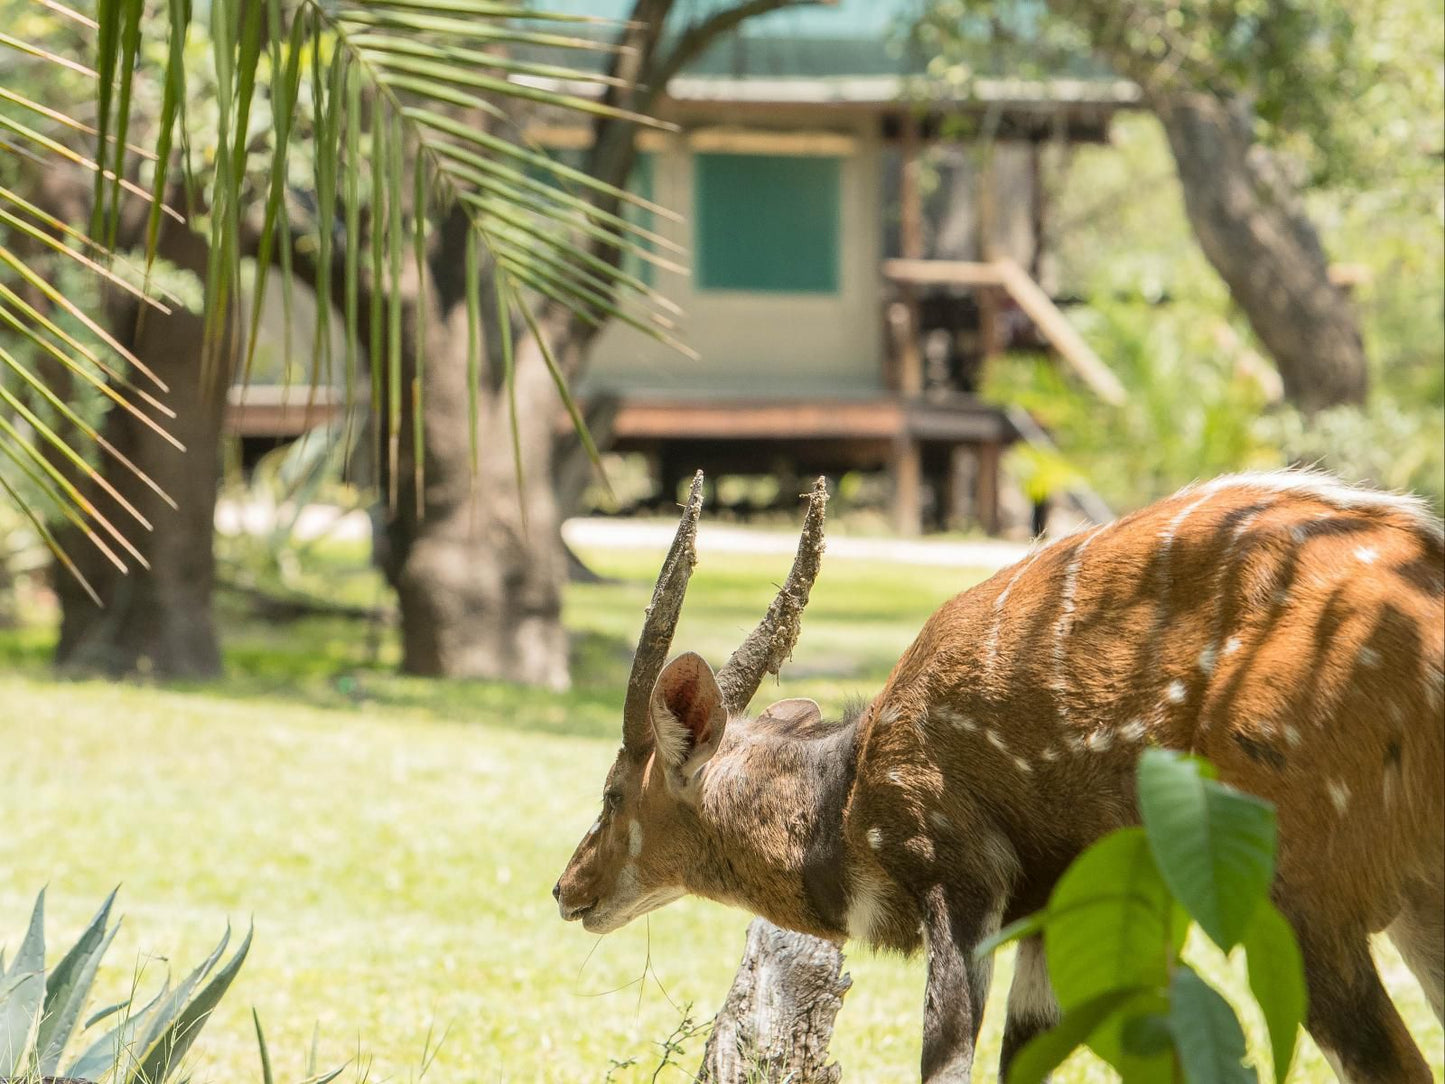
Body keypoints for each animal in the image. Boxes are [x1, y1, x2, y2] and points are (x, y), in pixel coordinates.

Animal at [554, 471, 1445, 1081]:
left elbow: (947, 1060)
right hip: (1411, 902)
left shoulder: (957, 876)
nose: (566, 888)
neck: (847, 804)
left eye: (609, 791)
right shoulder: (1055, 911)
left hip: (1301, 892)